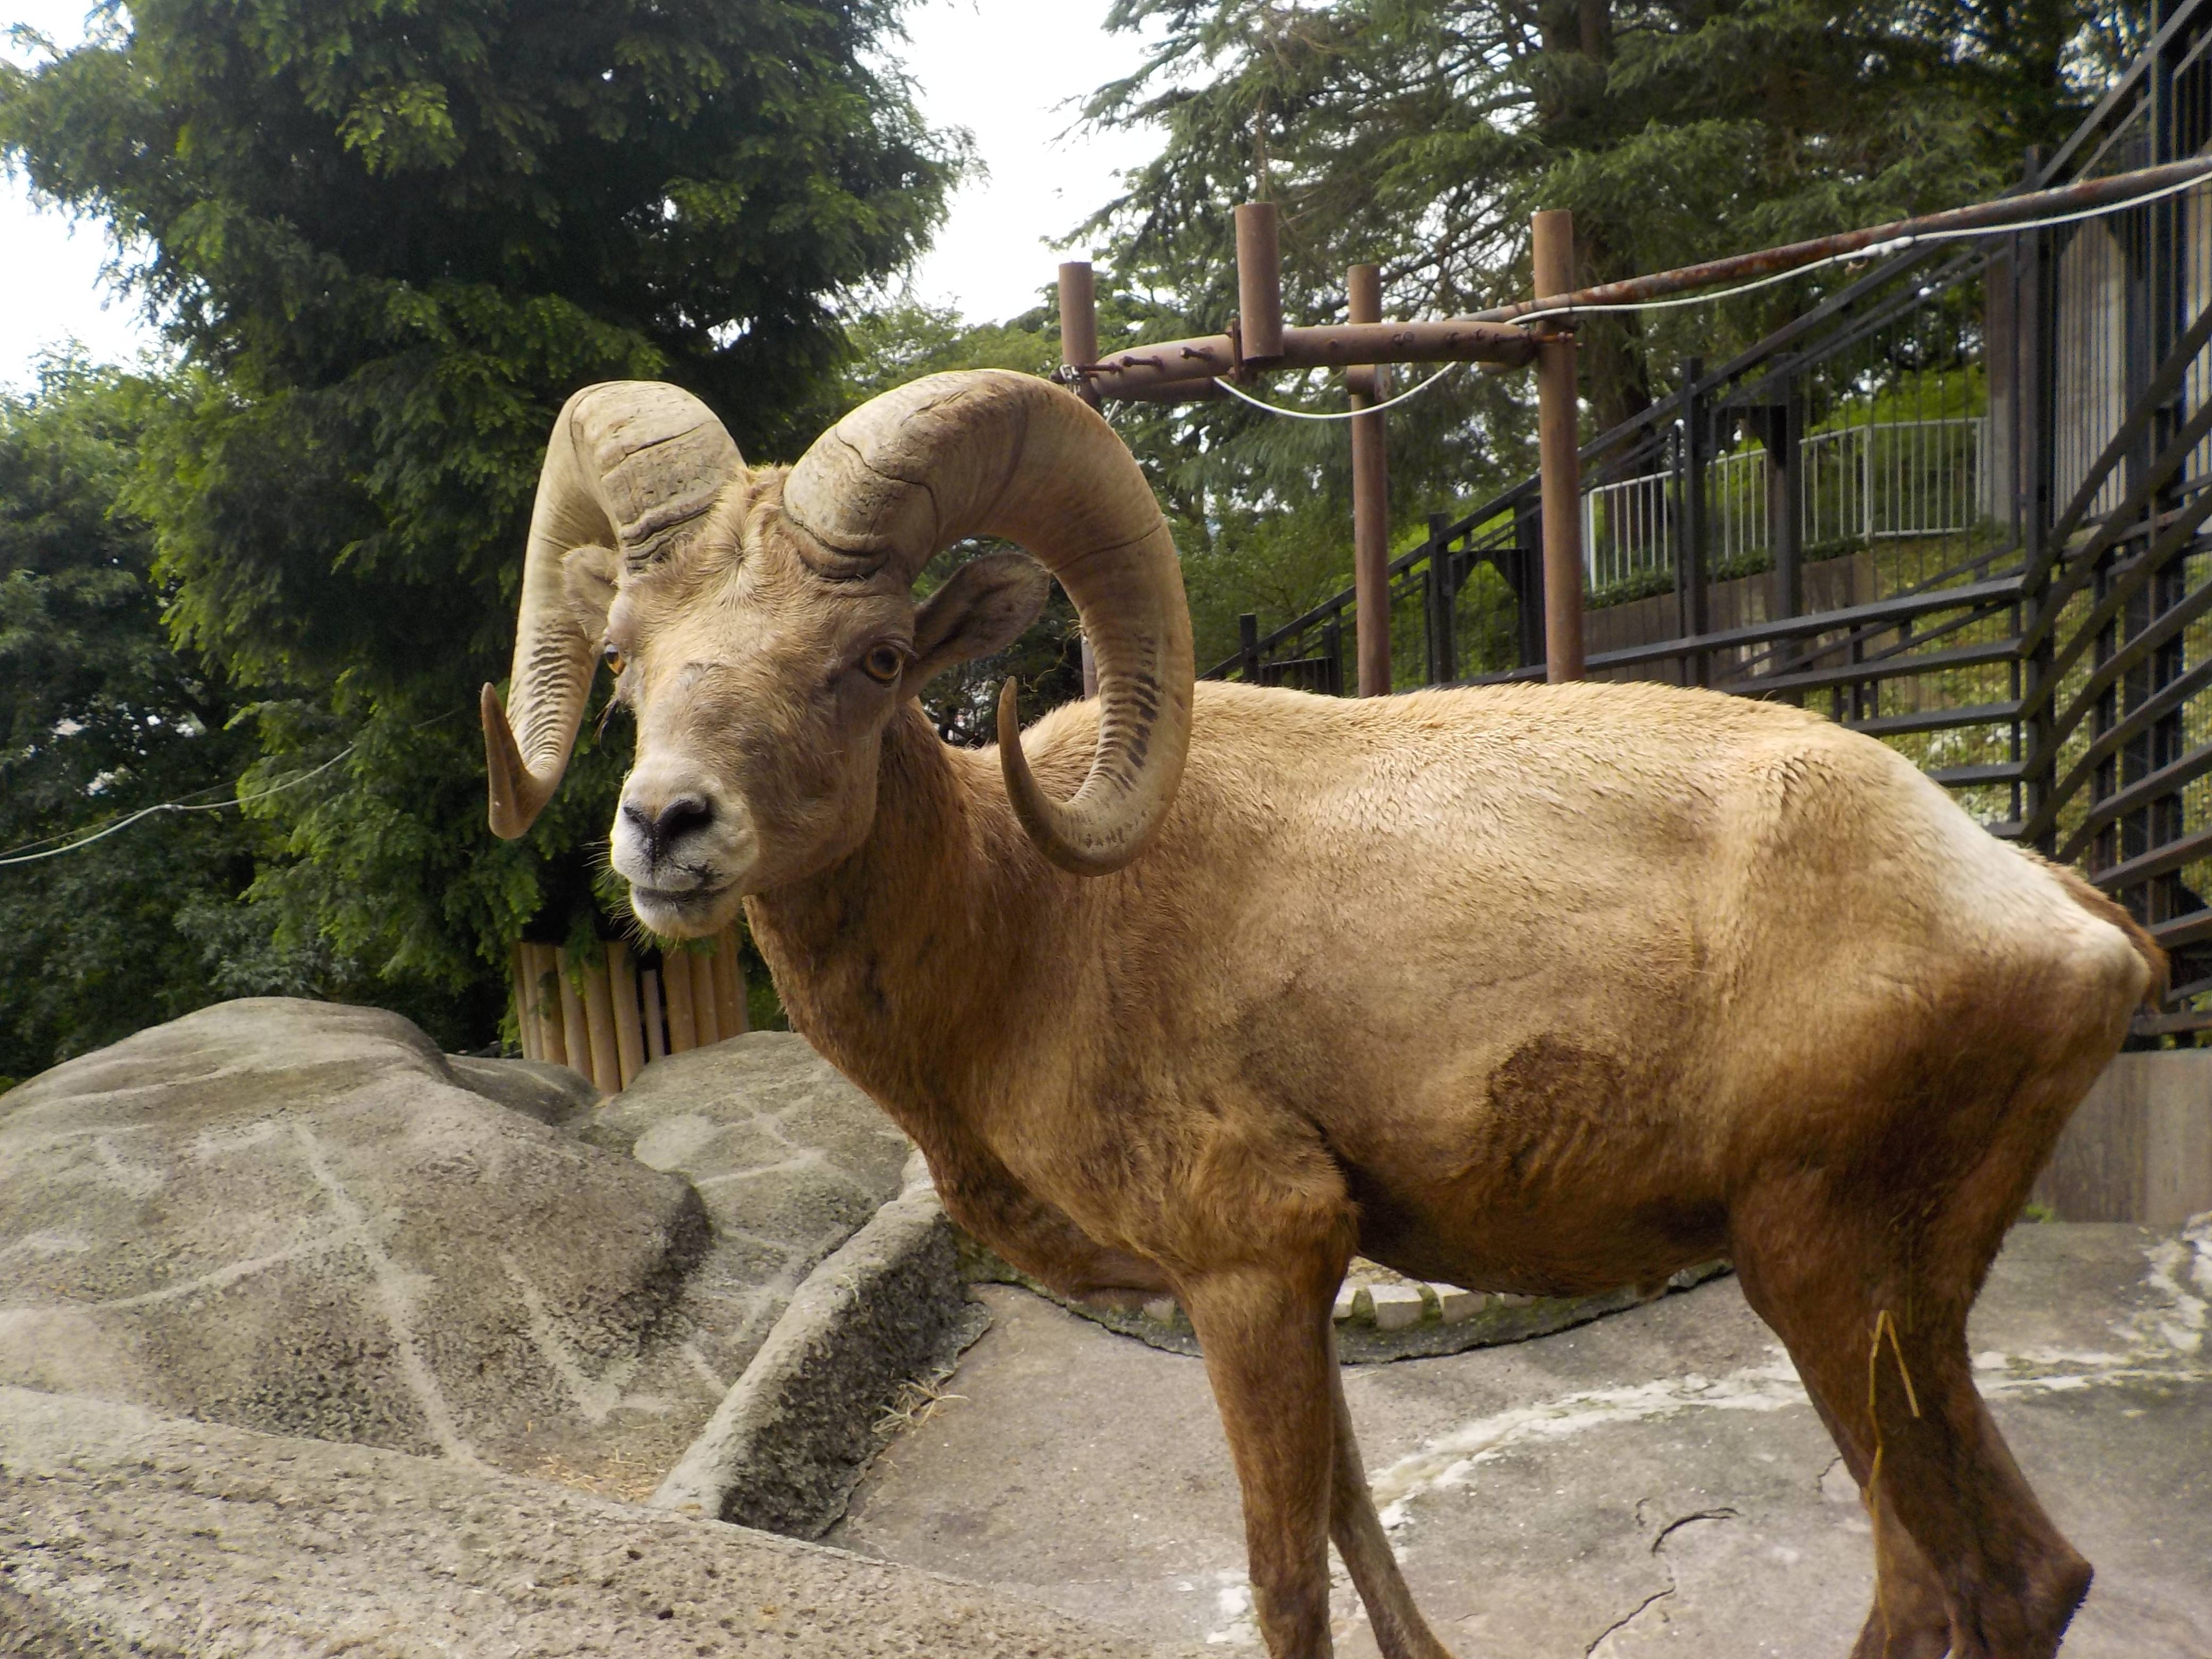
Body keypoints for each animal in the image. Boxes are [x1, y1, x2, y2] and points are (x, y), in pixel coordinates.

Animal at [484, 369, 2159, 1659]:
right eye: (627, 658)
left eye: (876, 656)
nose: (666, 828)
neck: (1027, 933)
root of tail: (2066, 921)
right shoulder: (1305, 1276)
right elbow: (1356, 1521)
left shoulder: (1248, 1263)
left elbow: (1288, 1576)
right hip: (1895, 1307)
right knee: (1993, 1577)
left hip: (1825, 1275)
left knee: (1976, 1582)